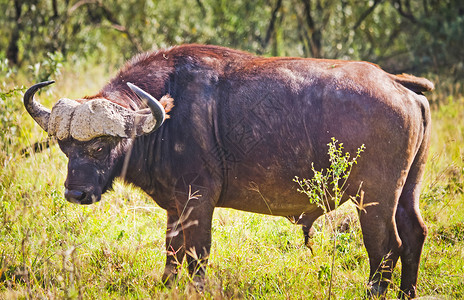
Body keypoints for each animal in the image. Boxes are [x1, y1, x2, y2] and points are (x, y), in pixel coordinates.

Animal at [23, 44, 434, 298]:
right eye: (64, 146)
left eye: (100, 145)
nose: (76, 193)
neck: (166, 119)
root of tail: (398, 85)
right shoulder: (176, 207)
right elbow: (172, 255)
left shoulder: (199, 201)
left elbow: (197, 257)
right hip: (405, 192)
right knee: (414, 234)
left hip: (374, 199)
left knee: (386, 248)